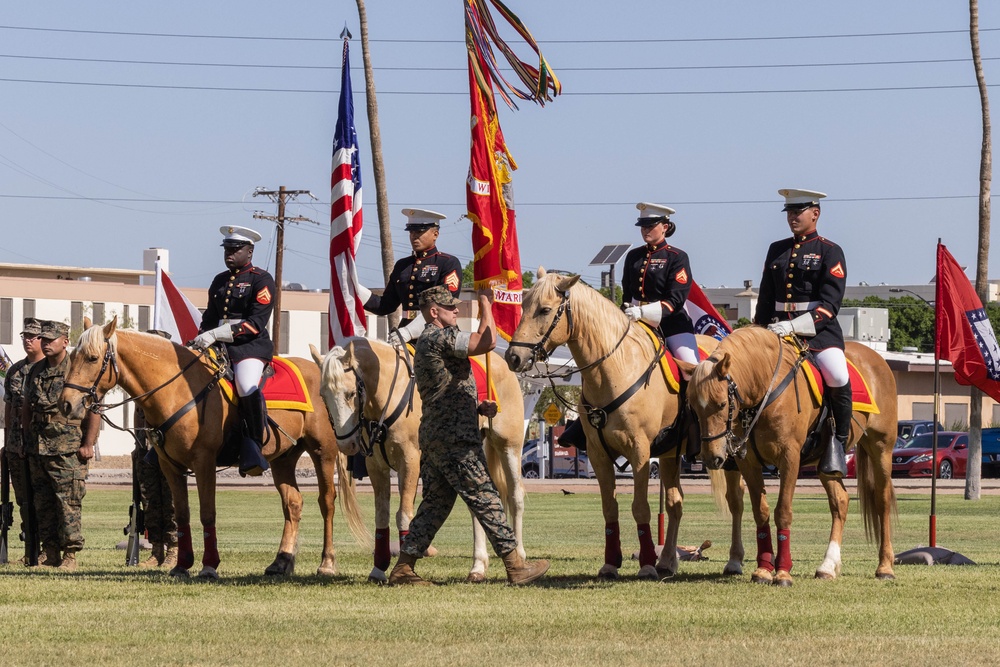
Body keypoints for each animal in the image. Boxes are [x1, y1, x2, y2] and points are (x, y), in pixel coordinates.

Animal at [58, 318, 366, 580]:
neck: (177, 389)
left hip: (322, 451)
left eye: (92, 358)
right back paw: (281, 561)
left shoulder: (204, 462)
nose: (66, 404)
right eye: (72, 357)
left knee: (326, 502)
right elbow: (182, 514)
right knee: (292, 503)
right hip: (283, 457)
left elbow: (207, 513)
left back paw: (326, 563)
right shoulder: (170, 466)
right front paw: (182, 565)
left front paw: (209, 565)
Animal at [312, 336, 528, 580]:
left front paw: (403, 565)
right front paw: (379, 568)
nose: (345, 444)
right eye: (323, 396)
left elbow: (404, 515)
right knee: (477, 503)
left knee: (515, 495)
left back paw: (519, 555)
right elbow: (382, 516)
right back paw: (478, 566)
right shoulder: (376, 466)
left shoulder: (410, 461)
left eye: (350, 393)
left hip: (509, 445)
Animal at [508, 268, 744, 580]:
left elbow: (640, 508)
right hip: (669, 454)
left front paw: (645, 564)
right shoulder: (598, 454)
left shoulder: (639, 452)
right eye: (523, 306)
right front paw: (611, 562)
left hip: (728, 455)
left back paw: (735, 560)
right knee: (675, 503)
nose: (513, 356)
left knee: (736, 499)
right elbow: (610, 508)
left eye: (545, 309)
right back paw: (668, 560)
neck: (614, 369)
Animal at [680, 326, 900, 588]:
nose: (711, 457)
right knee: (840, 501)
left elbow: (783, 511)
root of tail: (877, 359)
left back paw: (885, 566)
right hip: (826, 463)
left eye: (722, 404)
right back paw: (828, 566)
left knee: (882, 500)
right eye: (693, 406)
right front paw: (764, 569)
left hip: (881, 448)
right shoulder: (748, 463)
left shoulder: (789, 459)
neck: (765, 389)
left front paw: (783, 572)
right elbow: (761, 512)